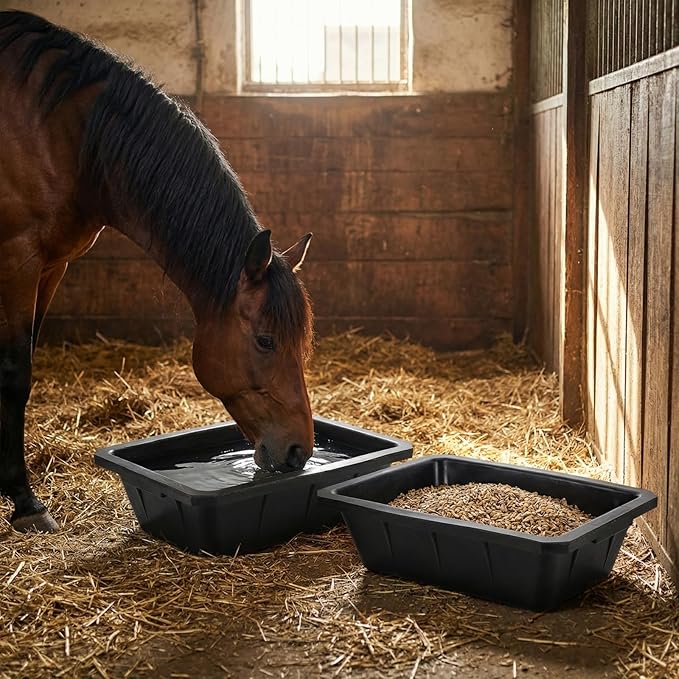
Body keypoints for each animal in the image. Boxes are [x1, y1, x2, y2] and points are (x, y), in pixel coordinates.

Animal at [0, 11, 315, 533]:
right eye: (266, 341)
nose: (297, 452)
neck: (63, 132)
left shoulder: (50, 267)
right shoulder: (17, 261)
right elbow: (14, 375)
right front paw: (26, 504)